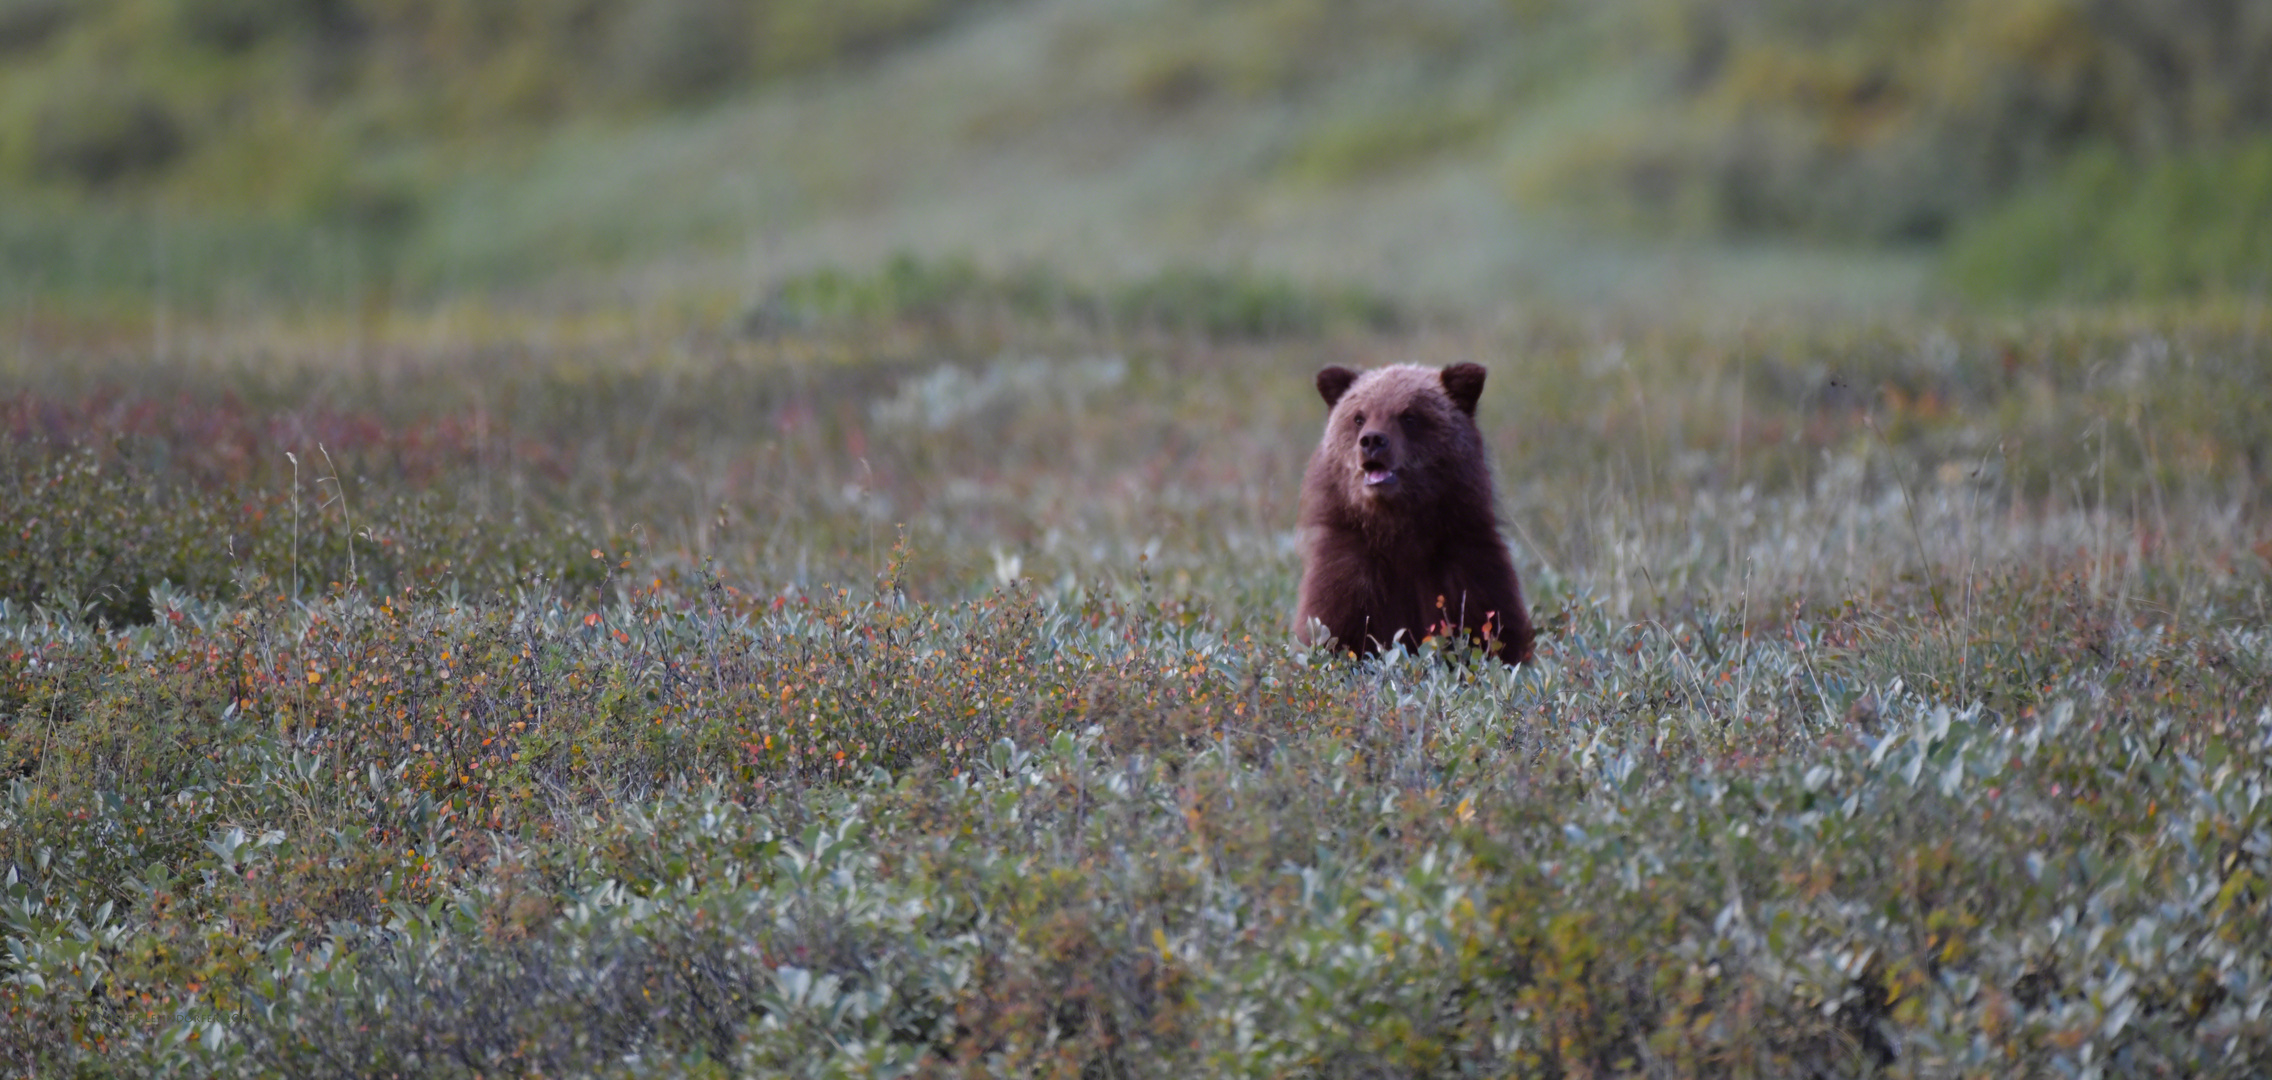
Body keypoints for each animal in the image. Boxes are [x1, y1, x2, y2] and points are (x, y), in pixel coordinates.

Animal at [1308, 363, 1535, 668]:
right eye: (1358, 417)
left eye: (1409, 416)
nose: (1372, 440)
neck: (1400, 531)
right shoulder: (1347, 575)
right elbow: (1337, 634)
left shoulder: (1467, 567)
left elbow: (1490, 633)